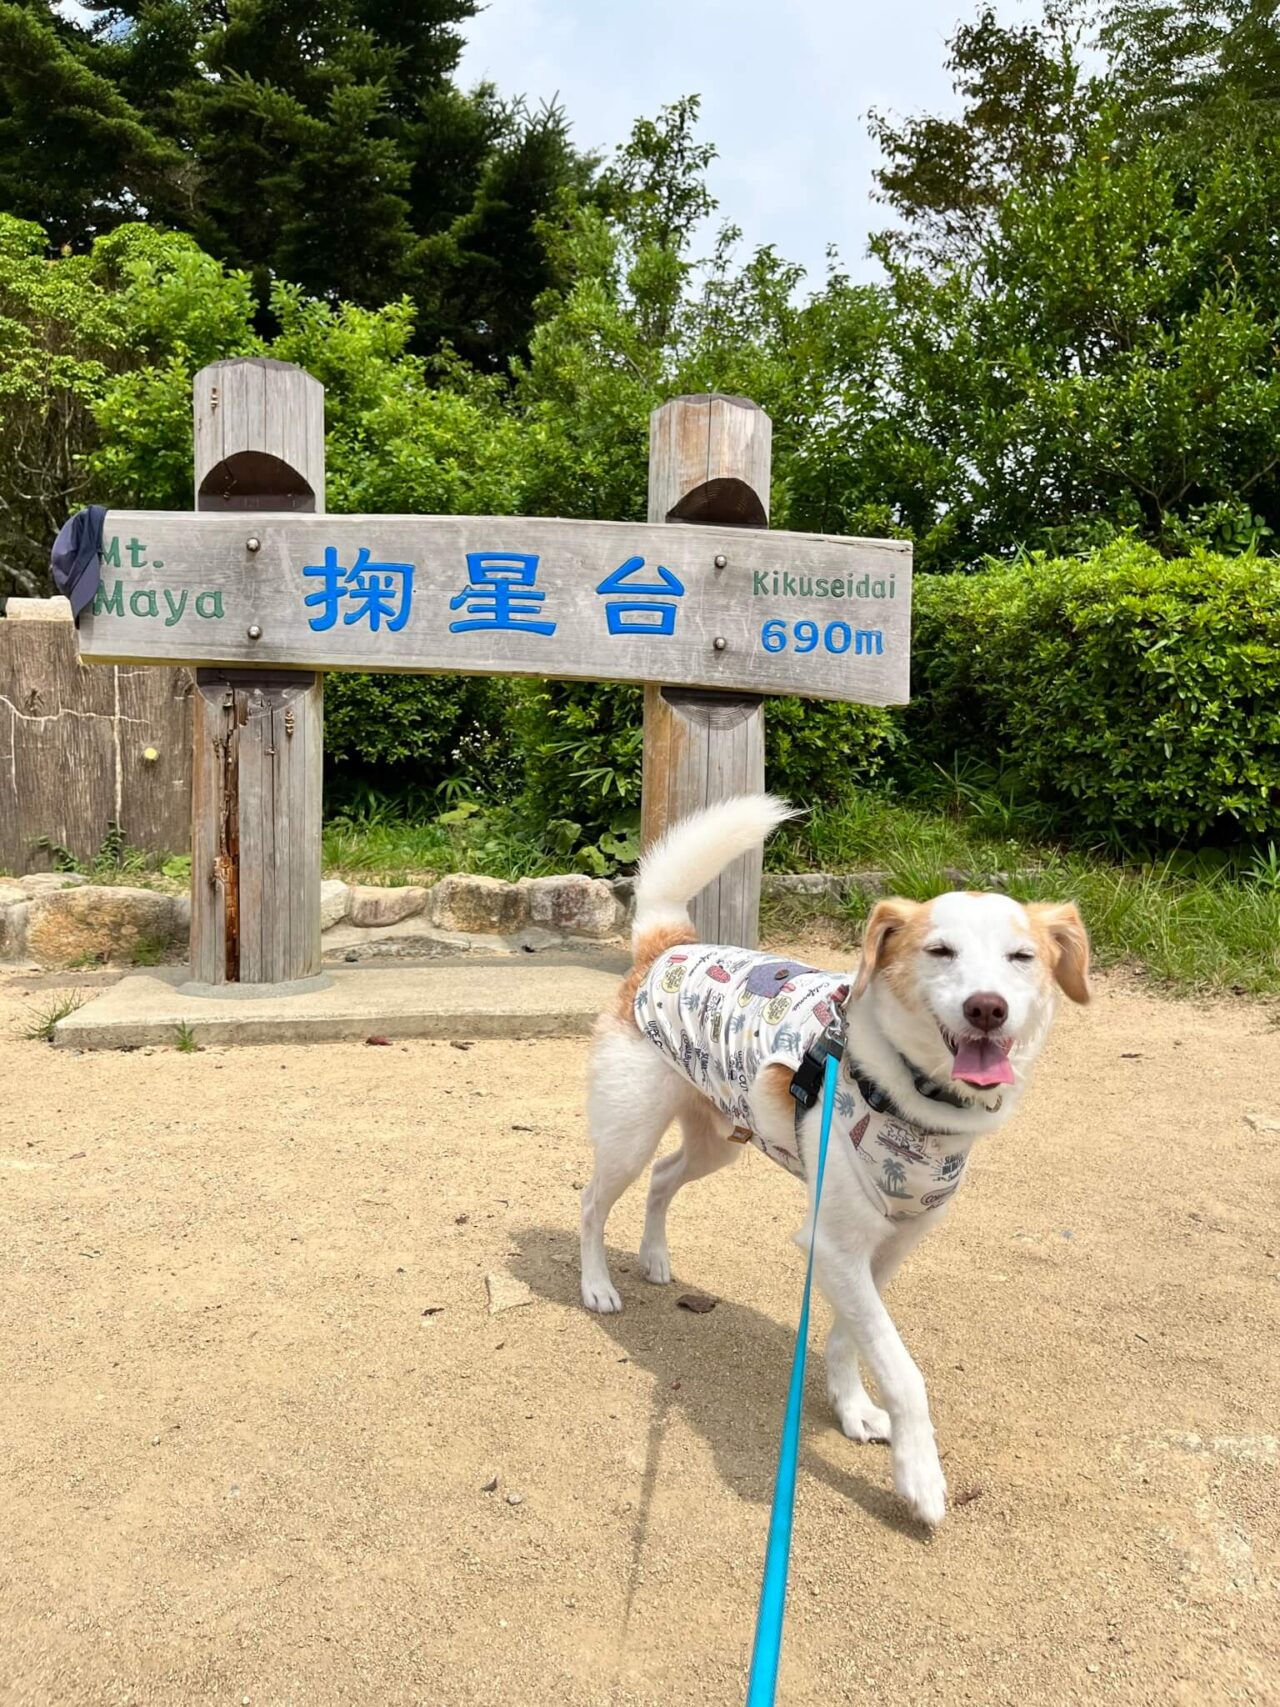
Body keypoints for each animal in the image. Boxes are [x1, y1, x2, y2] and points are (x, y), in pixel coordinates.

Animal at [580, 792, 1092, 1529]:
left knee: (664, 1179)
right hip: (630, 1128)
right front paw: (919, 1475)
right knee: (594, 1202)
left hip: (716, 1138)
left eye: (1022, 956)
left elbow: (854, 1337)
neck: (915, 1099)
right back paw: (597, 1286)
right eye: (940, 950)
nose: (986, 1007)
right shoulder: (834, 1242)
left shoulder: (885, 1248)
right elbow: (903, 1370)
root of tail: (667, 943)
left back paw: (653, 1258)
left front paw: (852, 1410)